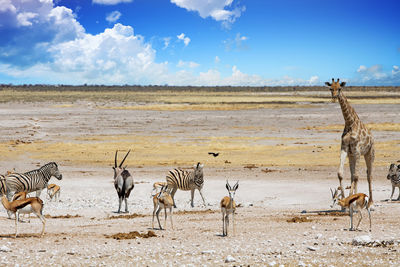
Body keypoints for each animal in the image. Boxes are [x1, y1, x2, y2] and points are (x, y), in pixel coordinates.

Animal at [324, 78, 376, 207]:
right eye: (330, 88)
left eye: (339, 88)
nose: (334, 97)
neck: (349, 123)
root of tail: (372, 137)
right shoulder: (345, 148)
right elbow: (341, 173)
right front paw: (345, 200)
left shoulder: (357, 149)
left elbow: (357, 176)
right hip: (352, 156)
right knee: (353, 175)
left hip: (369, 153)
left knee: (369, 175)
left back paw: (371, 202)